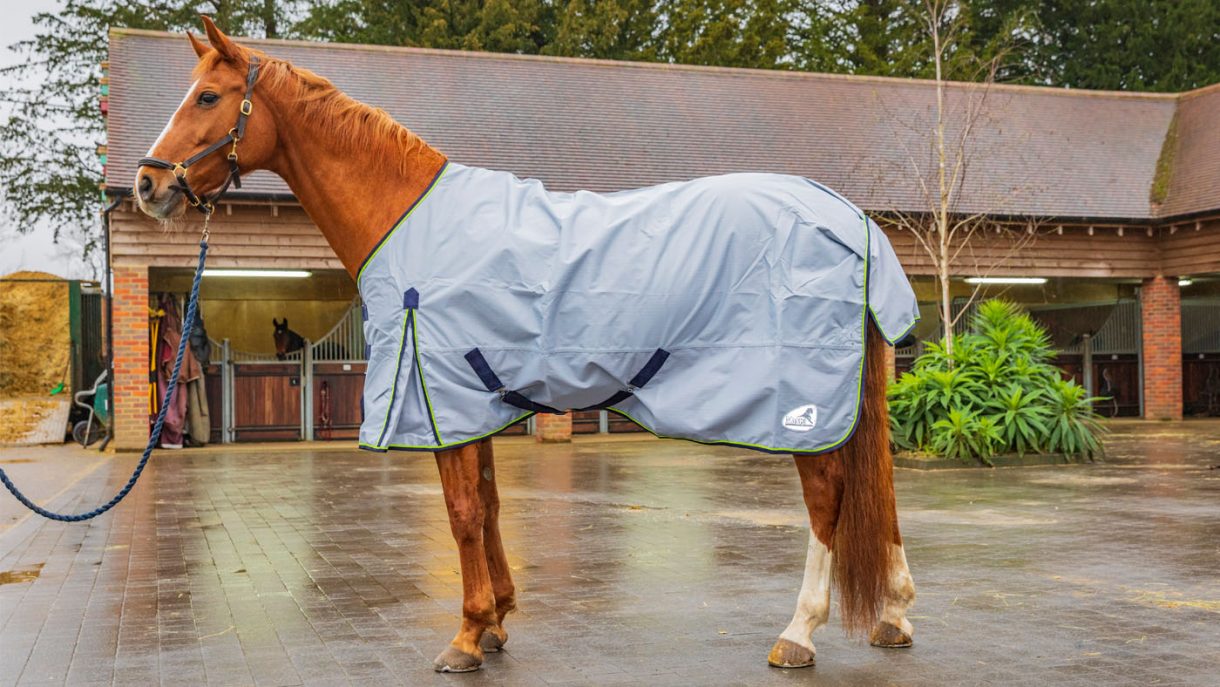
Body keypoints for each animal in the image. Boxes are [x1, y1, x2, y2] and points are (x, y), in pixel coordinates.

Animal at [134, 18, 917, 673]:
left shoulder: (440, 397)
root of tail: (847, 218)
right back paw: (895, 616)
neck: (407, 216)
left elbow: (461, 513)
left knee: (828, 500)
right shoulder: (470, 399)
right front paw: (497, 621)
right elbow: (488, 504)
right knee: (878, 488)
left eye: (208, 96)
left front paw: (465, 634)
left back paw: (798, 633)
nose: (146, 184)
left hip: (800, 406)